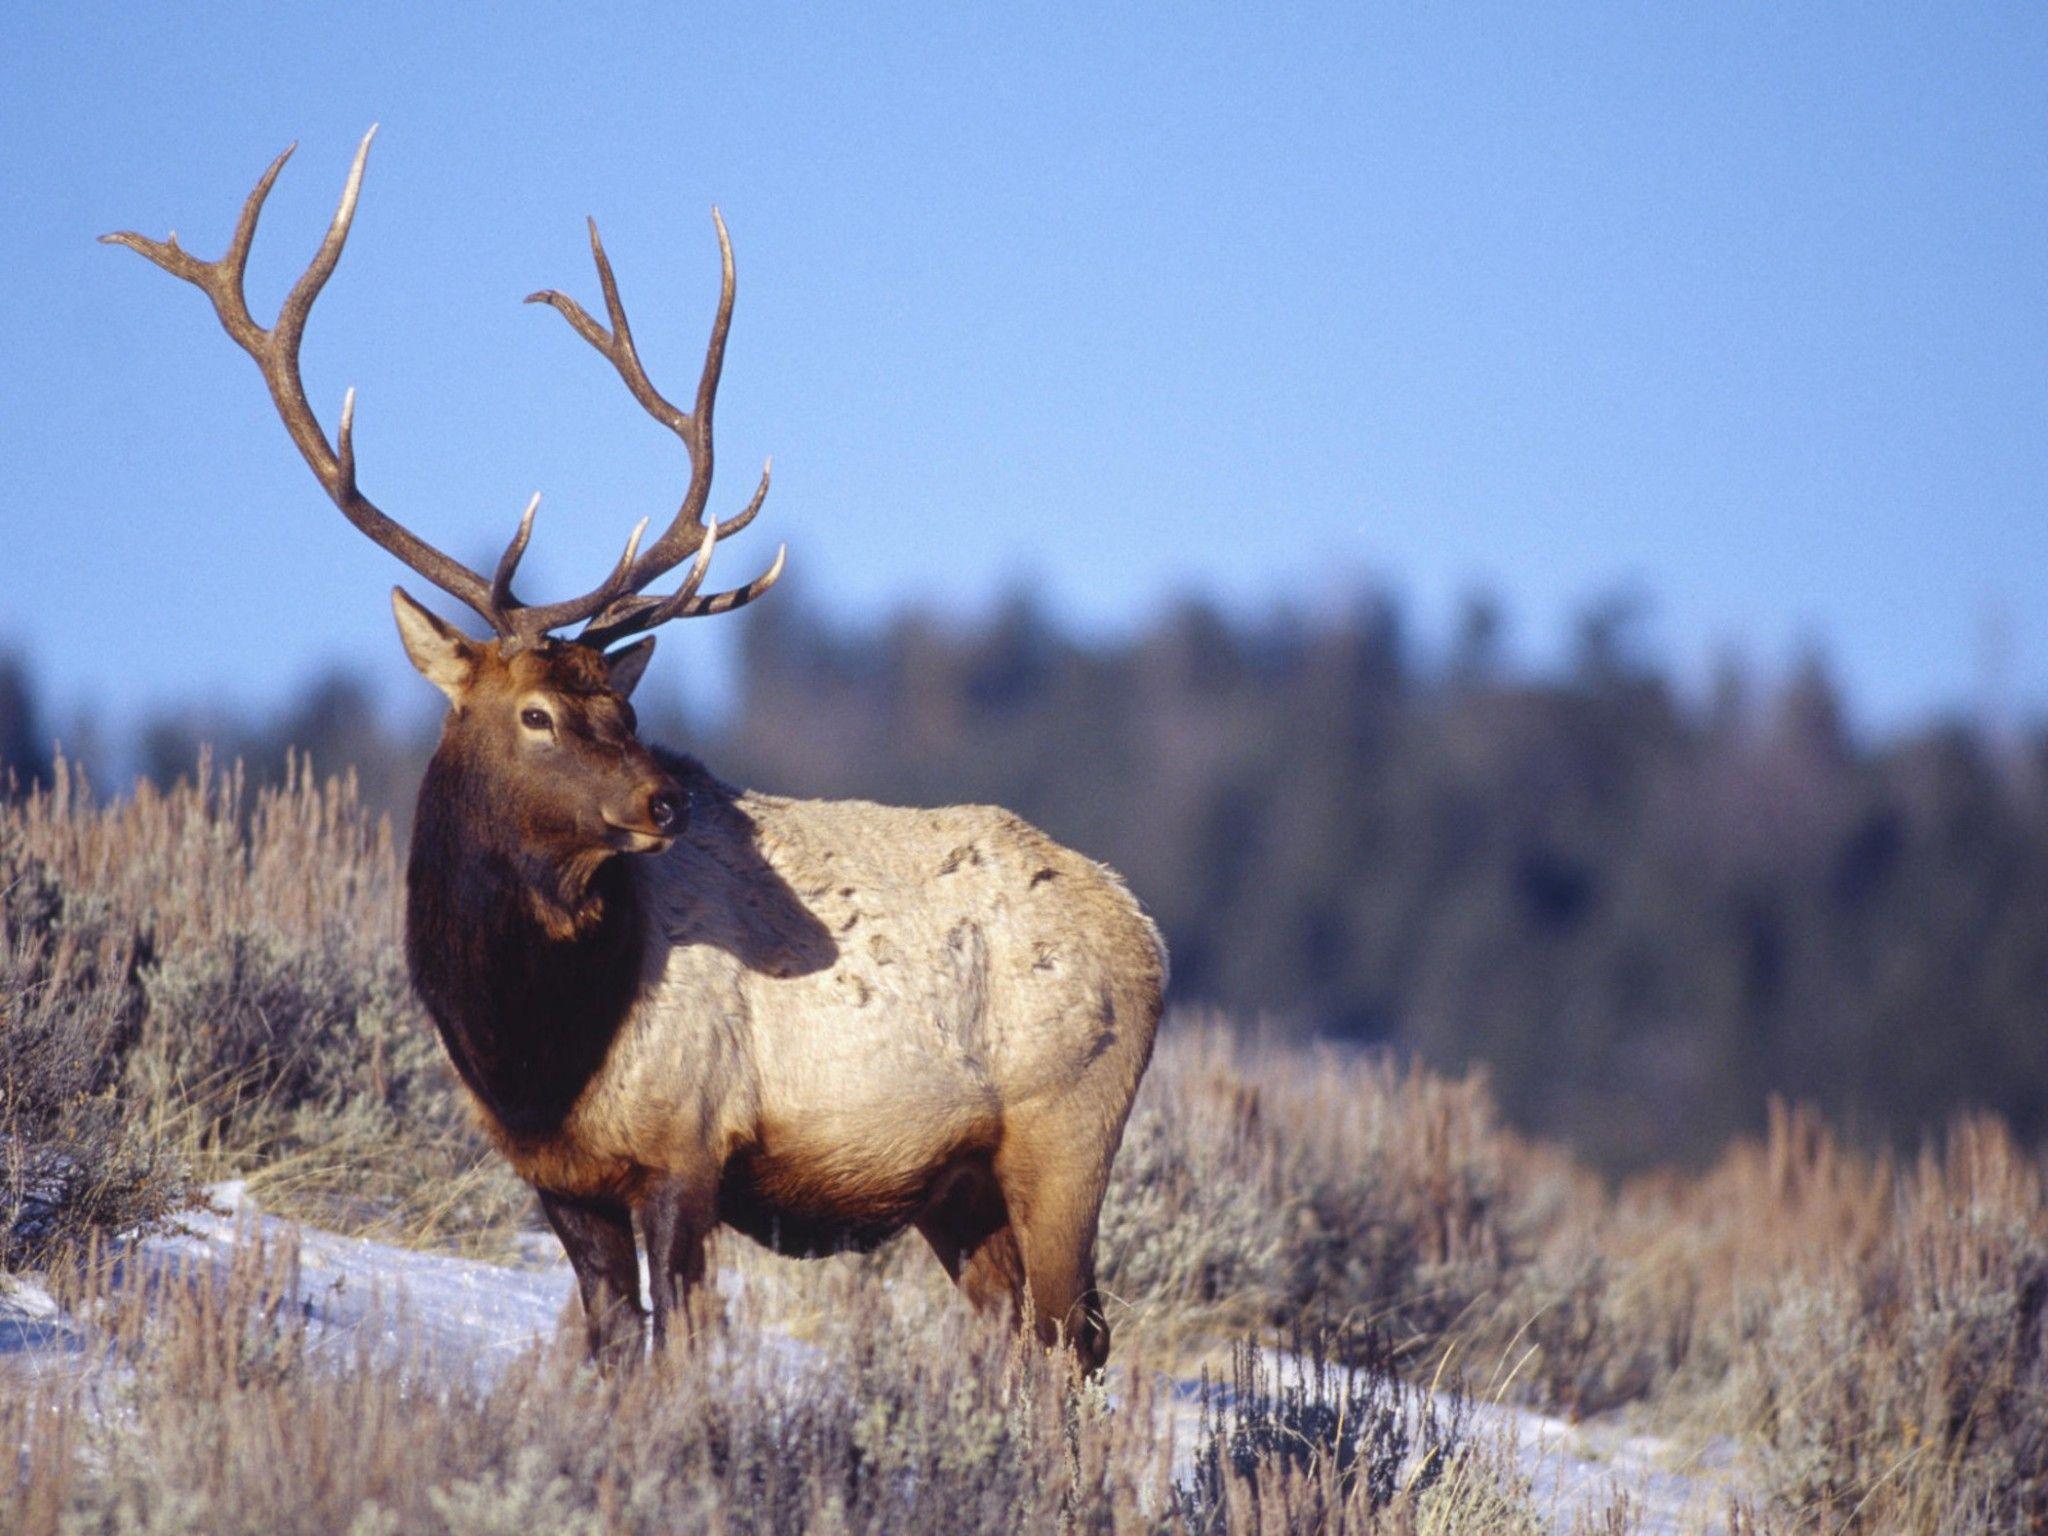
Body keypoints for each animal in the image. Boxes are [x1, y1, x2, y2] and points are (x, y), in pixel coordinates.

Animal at [104, 131, 1166, 1373]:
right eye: (537, 713)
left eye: (619, 697)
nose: (668, 802)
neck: (530, 1048)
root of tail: (1146, 931)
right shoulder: (557, 1178)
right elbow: (613, 1346)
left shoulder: (686, 1144)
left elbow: (680, 1352)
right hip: (957, 1190)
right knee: (1027, 1343)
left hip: (1064, 1130)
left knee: (1070, 1342)